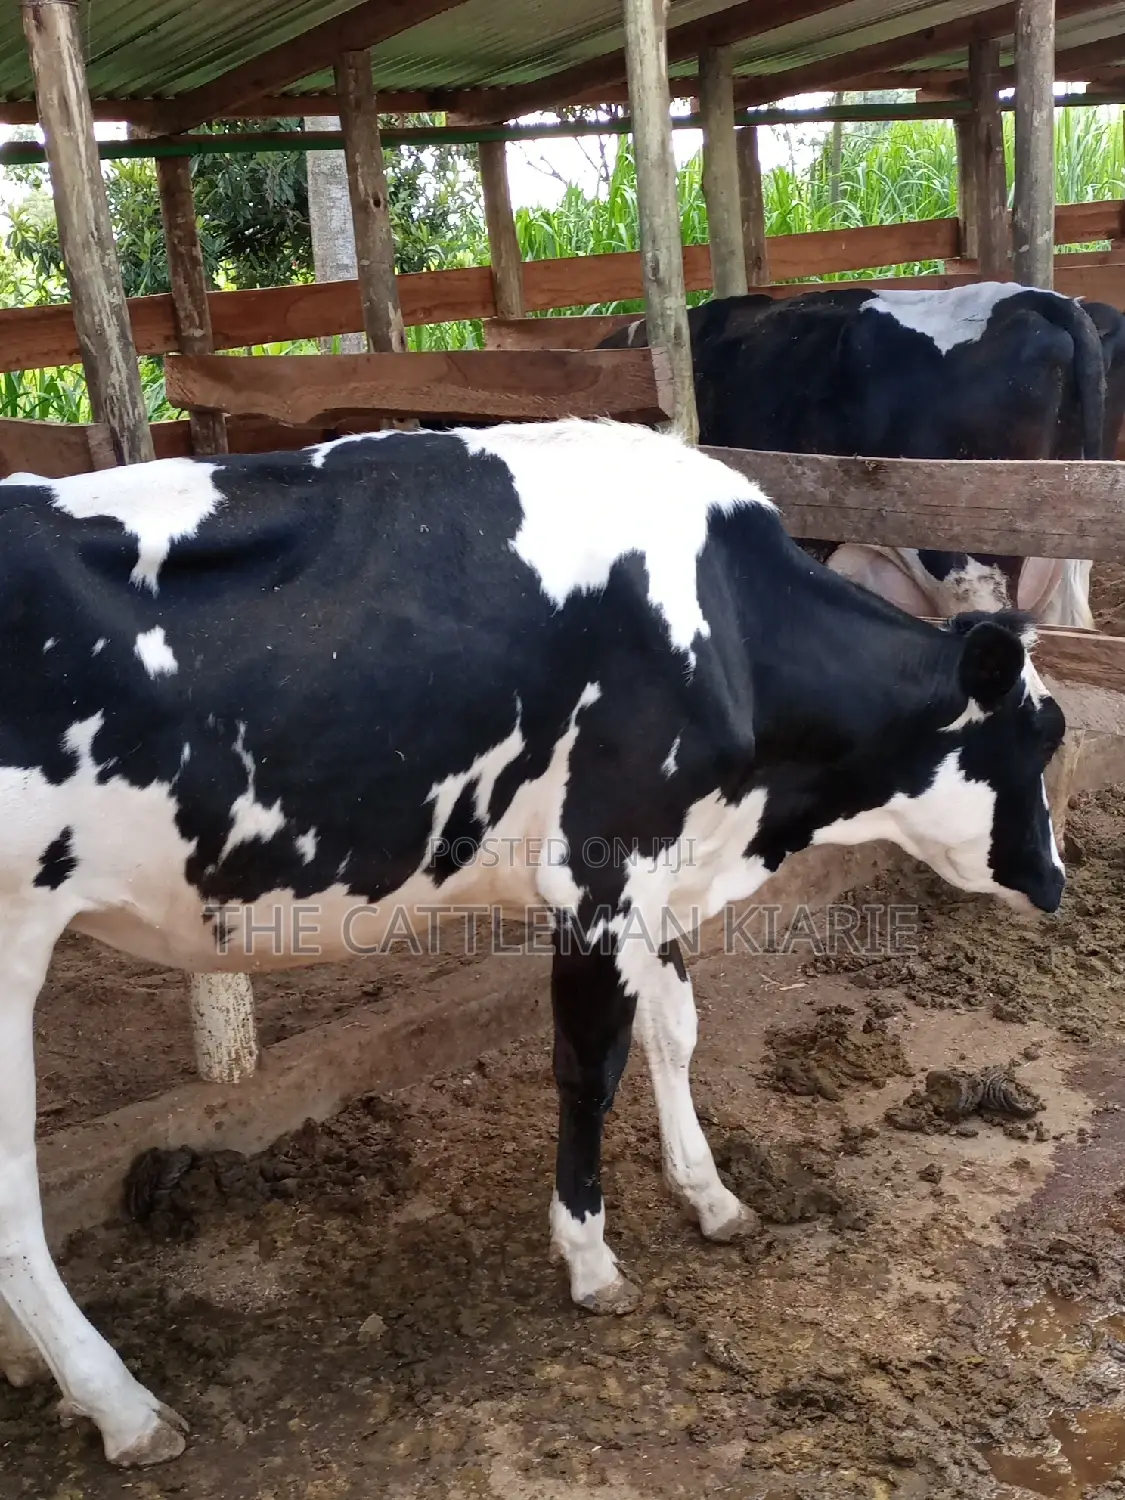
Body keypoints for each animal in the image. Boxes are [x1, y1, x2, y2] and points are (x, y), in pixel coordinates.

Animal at [0, 420, 1065, 1466]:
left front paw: (712, 1196)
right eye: (1041, 737)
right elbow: (590, 1070)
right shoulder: (601, 875)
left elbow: (675, 1030)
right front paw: (591, 1259)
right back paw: (121, 1408)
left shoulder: (659, 874)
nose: (1057, 881)